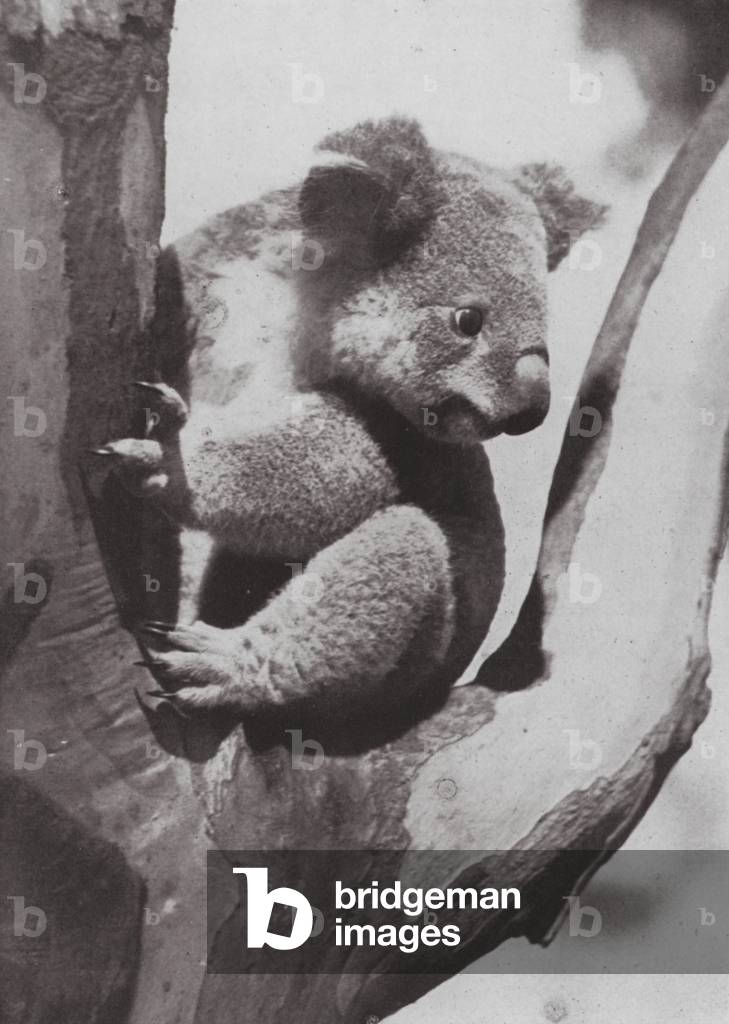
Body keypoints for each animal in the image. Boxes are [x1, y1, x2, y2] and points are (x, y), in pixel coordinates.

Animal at [96, 115, 605, 740]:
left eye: (546, 335)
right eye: (468, 320)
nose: (532, 410)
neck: (289, 316)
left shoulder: (395, 429)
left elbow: (324, 470)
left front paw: (171, 457)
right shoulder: (207, 276)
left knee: (398, 554)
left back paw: (223, 666)